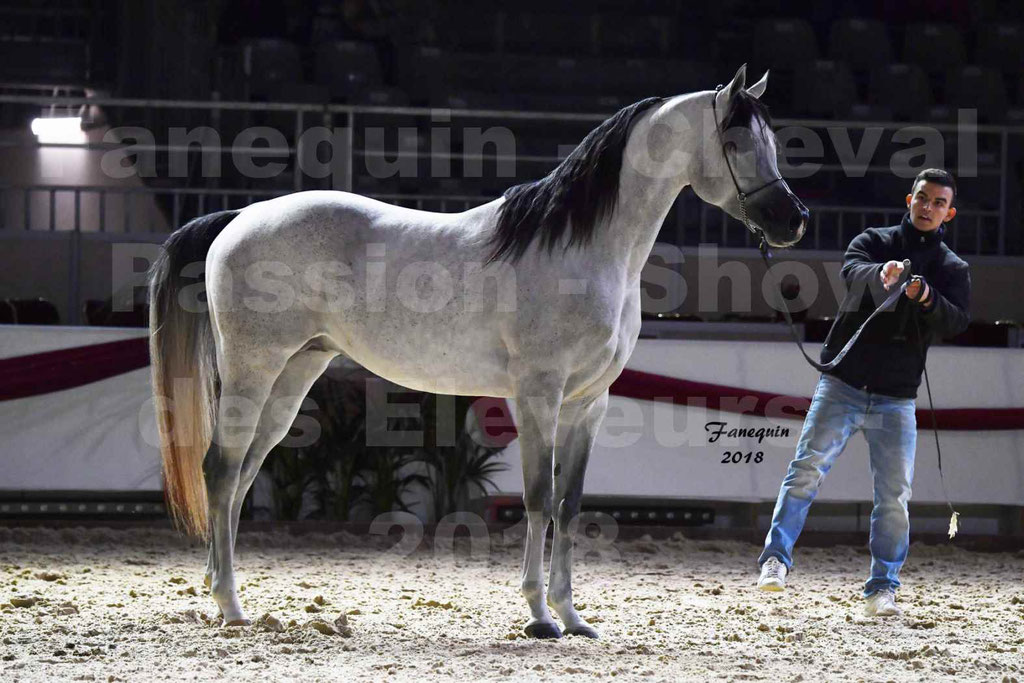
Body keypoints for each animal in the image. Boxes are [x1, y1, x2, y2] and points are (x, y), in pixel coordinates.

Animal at [151, 66, 806, 638]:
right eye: (734, 140)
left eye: (772, 139)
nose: (791, 220)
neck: (585, 249)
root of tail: (240, 217)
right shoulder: (538, 395)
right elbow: (539, 499)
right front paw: (539, 617)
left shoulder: (589, 403)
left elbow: (570, 505)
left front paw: (572, 618)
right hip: (252, 370)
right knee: (220, 467)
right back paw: (231, 606)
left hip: (295, 374)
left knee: (242, 474)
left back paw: (221, 592)